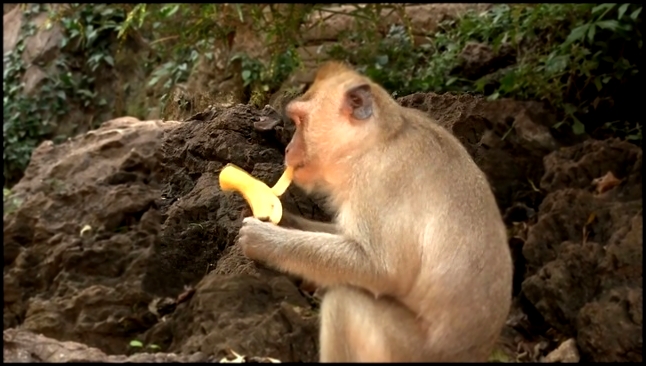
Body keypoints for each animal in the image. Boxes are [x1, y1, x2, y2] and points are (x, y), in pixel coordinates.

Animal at [238, 61, 516, 362]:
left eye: (300, 121)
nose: (288, 149)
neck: (378, 142)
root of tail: (477, 353)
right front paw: (282, 220)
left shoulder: (381, 180)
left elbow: (381, 269)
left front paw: (263, 239)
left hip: (410, 351)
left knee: (344, 301)